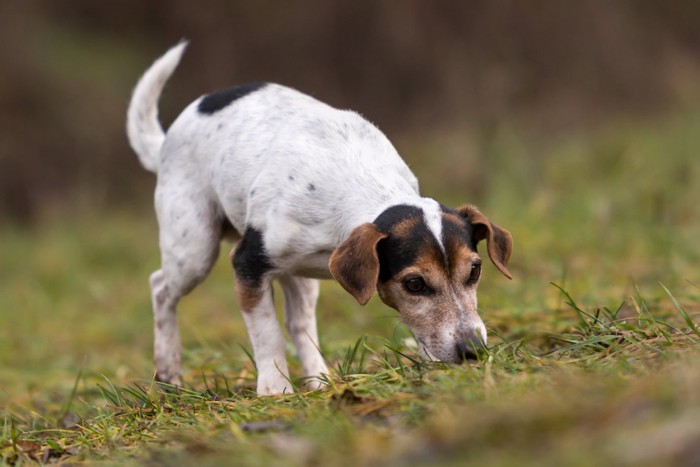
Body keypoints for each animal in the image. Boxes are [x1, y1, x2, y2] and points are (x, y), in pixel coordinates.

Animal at [126, 43, 512, 394]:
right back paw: (170, 372)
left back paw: (319, 379)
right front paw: (275, 390)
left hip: (297, 274)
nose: (472, 350)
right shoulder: (249, 264)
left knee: (299, 322)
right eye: (414, 284)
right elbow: (267, 333)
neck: (360, 182)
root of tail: (166, 140)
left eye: (475, 271)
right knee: (161, 288)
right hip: (194, 250)